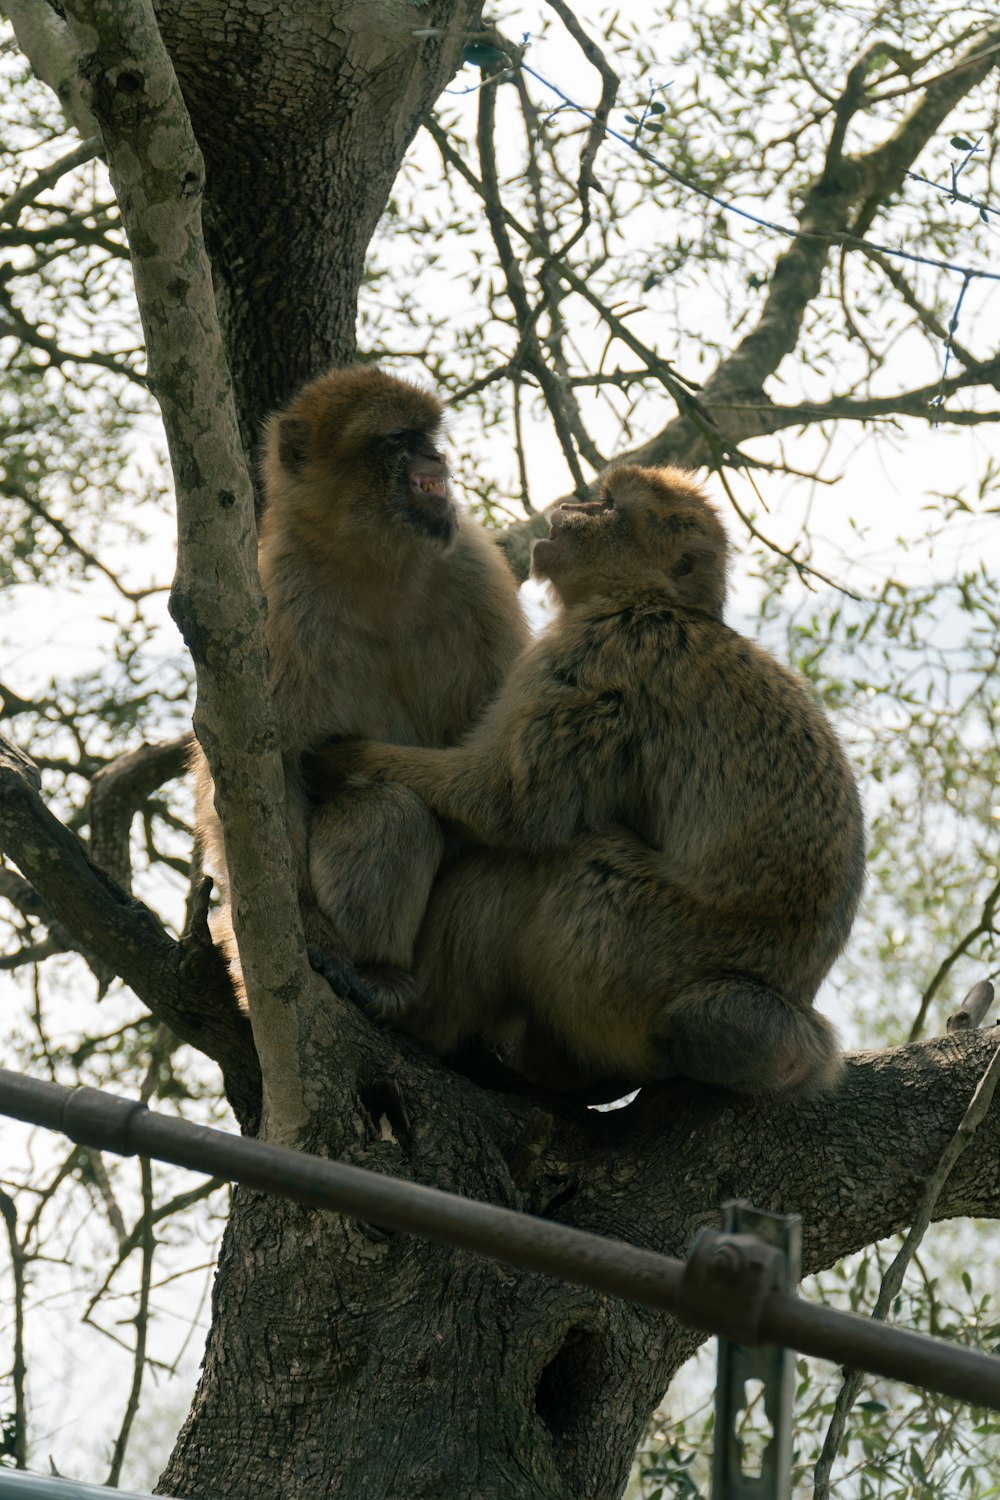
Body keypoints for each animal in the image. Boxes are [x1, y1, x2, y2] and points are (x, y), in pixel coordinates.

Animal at [190, 369, 527, 1014]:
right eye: (398, 438)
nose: (435, 456)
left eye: (428, 432)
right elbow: (266, 773)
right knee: (386, 808)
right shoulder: (275, 605)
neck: (376, 567)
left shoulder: (476, 574)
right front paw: (309, 930)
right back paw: (371, 966)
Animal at [307, 462, 869, 1098]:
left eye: (609, 506)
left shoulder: (600, 656)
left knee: (546, 867)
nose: (570, 508)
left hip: (635, 953)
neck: (648, 600)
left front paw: (340, 759)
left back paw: (410, 1008)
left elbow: (509, 802)